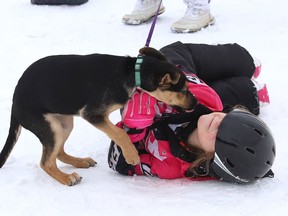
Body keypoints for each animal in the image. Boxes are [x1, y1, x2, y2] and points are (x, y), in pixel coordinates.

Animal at [0, 47, 197, 186]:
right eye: (183, 90)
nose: (196, 104)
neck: (132, 72)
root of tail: (15, 102)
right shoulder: (92, 114)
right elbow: (120, 133)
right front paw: (132, 155)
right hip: (50, 126)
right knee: (46, 162)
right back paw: (66, 178)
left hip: (64, 122)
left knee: (58, 152)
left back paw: (79, 162)